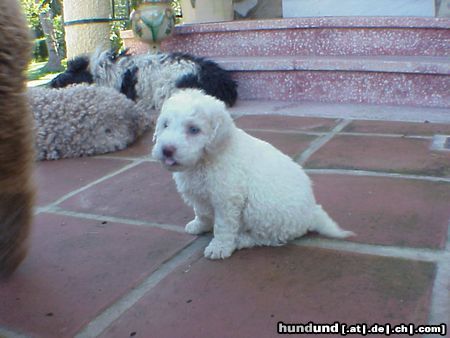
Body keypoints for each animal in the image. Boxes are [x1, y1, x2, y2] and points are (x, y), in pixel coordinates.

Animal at [152, 90, 356, 258]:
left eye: (194, 129)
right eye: (165, 125)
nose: (167, 150)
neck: (203, 161)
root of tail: (311, 213)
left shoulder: (226, 199)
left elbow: (223, 226)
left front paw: (219, 247)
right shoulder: (198, 195)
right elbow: (201, 213)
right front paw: (198, 226)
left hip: (261, 210)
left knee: (265, 237)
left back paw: (241, 240)